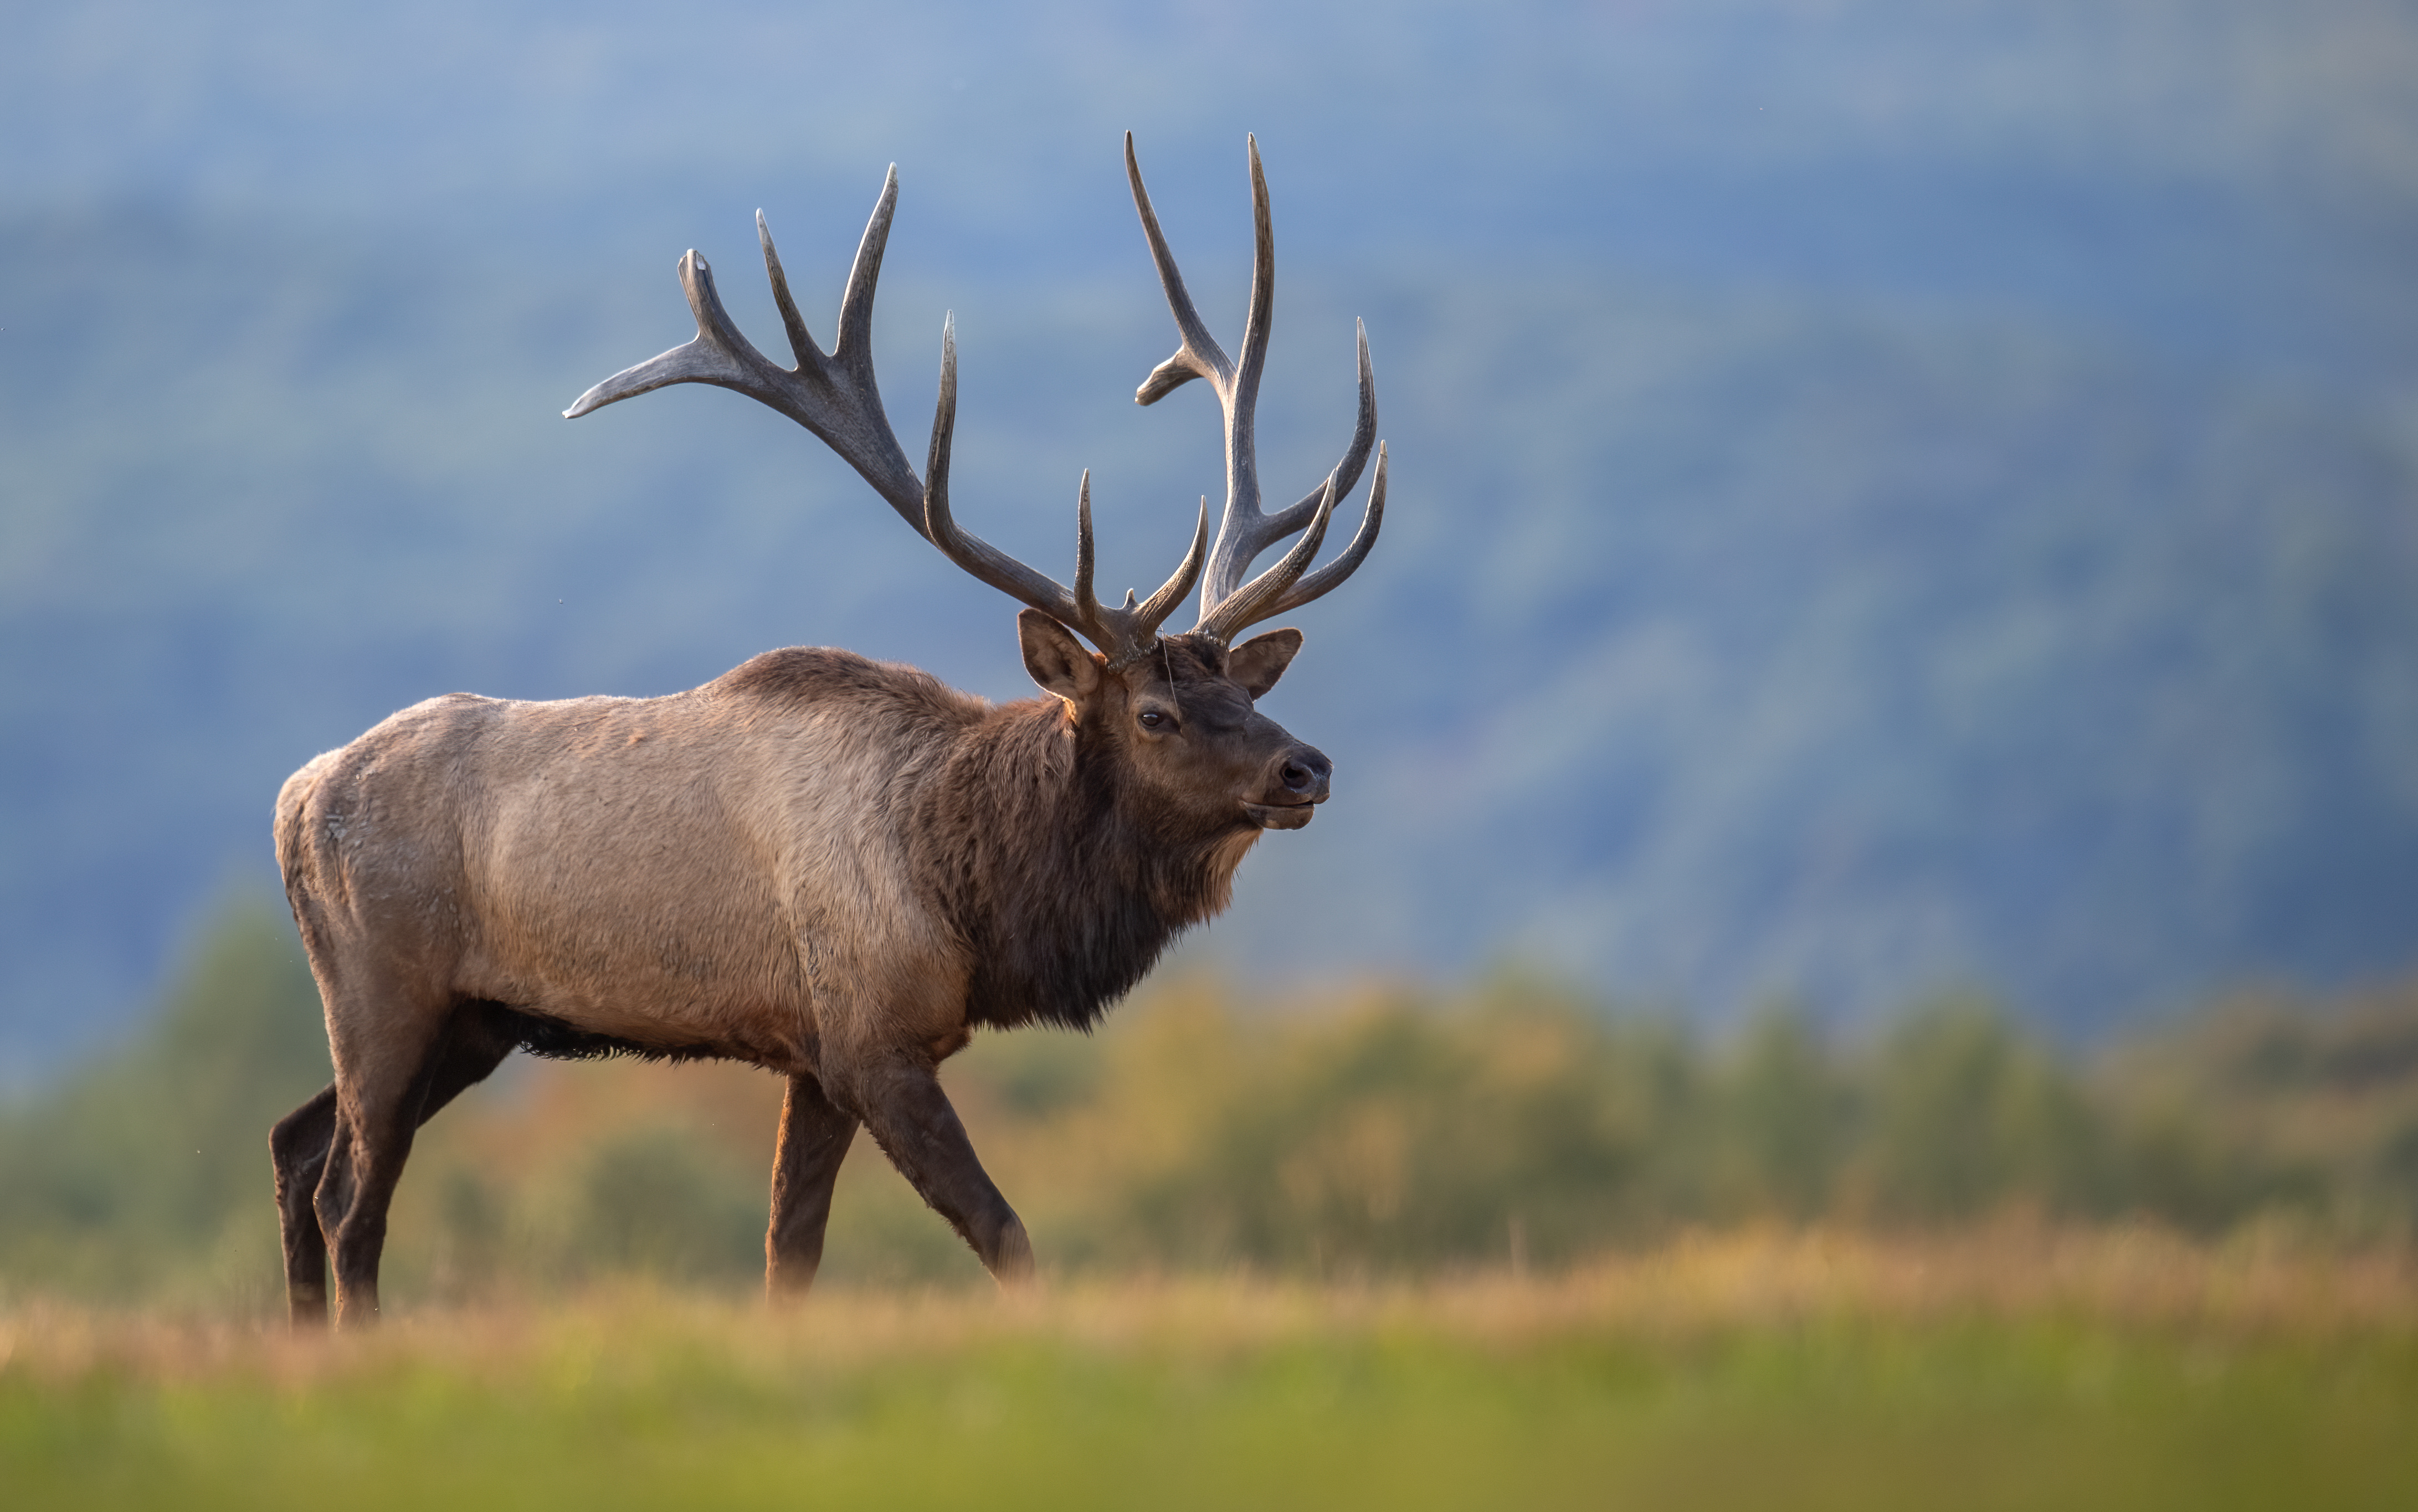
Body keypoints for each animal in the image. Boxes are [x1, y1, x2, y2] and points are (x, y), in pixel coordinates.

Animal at [266, 134, 1386, 1327]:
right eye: (1155, 713)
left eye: (1247, 698)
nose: (1305, 767)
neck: (972, 898)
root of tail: (295, 796)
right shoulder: (868, 1042)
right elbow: (1005, 1234)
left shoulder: (810, 1058)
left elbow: (788, 1254)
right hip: (383, 989)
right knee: (350, 1194)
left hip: (472, 1018)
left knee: (295, 1146)